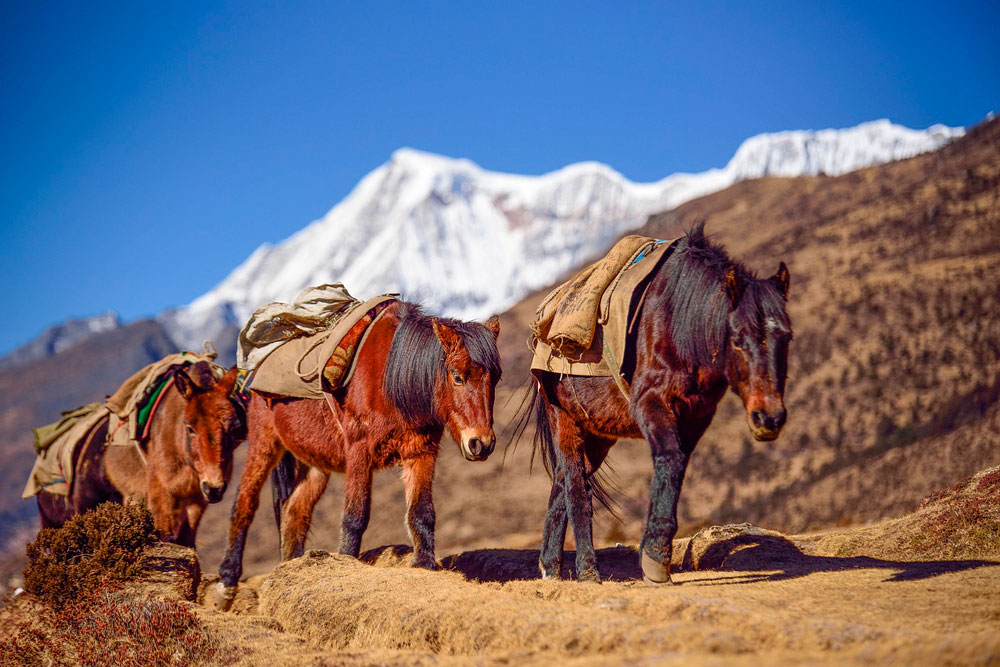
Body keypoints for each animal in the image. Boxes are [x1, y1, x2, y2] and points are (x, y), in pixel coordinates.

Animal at [36, 366, 247, 548]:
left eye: (234, 427)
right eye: (190, 428)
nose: (214, 488)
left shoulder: (195, 502)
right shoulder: (160, 496)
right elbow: (165, 537)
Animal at [216, 302, 504, 612]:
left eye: (496, 378)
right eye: (457, 376)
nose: (481, 444)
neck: (393, 378)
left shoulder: (421, 452)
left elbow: (422, 512)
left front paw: (424, 565)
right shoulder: (359, 452)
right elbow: (355, 516)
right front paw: (346, 562)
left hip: (314, 464)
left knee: (294, 511)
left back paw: (289, 570)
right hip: (264, 444)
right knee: (244, 504)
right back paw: (226, 584)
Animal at [520, 224, 792, 584]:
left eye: (786, 336)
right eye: (737, 339)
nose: (769, 418)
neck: (680, 324)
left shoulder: (696, 417)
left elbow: (675, 468)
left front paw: (654, 552)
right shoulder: (651, 403)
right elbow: (669, 459)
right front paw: (654, 560)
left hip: (596, 434)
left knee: (562, 482)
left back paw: (551, 568)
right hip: (563, 419)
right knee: (577, 489)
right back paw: (588, 569)